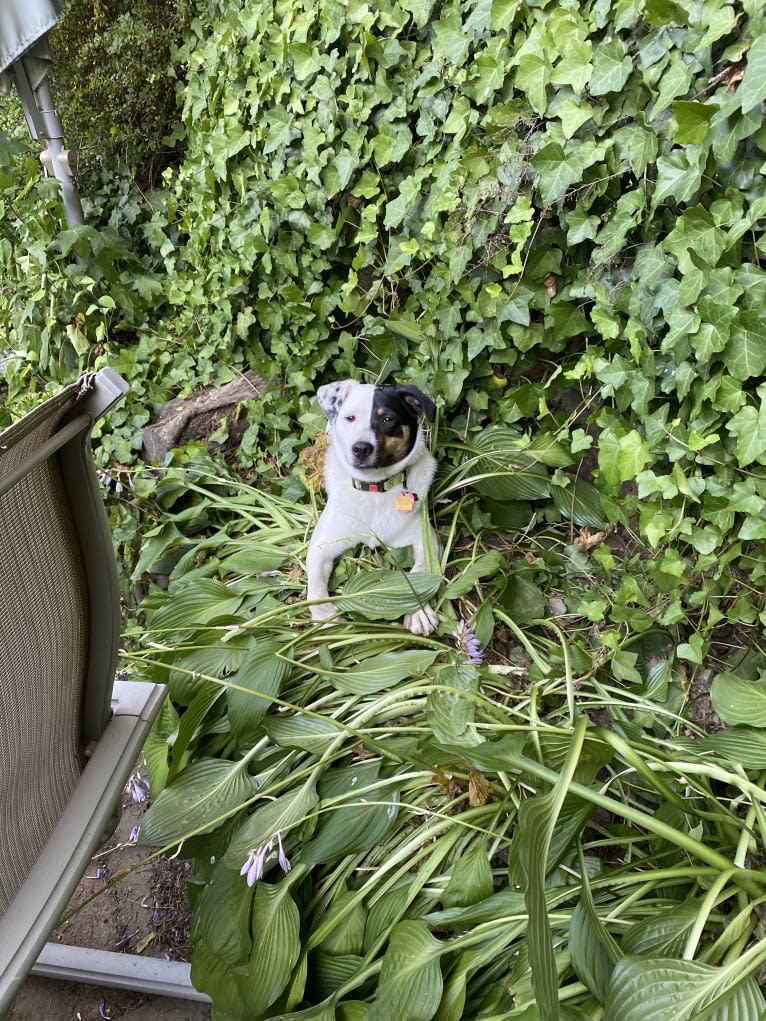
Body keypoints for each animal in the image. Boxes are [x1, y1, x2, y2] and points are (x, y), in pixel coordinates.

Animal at [306, 381, 437, 633]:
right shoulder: (322, 544)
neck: (374, 488)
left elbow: (421, 571)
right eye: (350, 418)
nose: (361, 448)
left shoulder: (426, 539)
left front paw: (419, 613)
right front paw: (324, 614)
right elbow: (315, 584)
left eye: (387, 419)